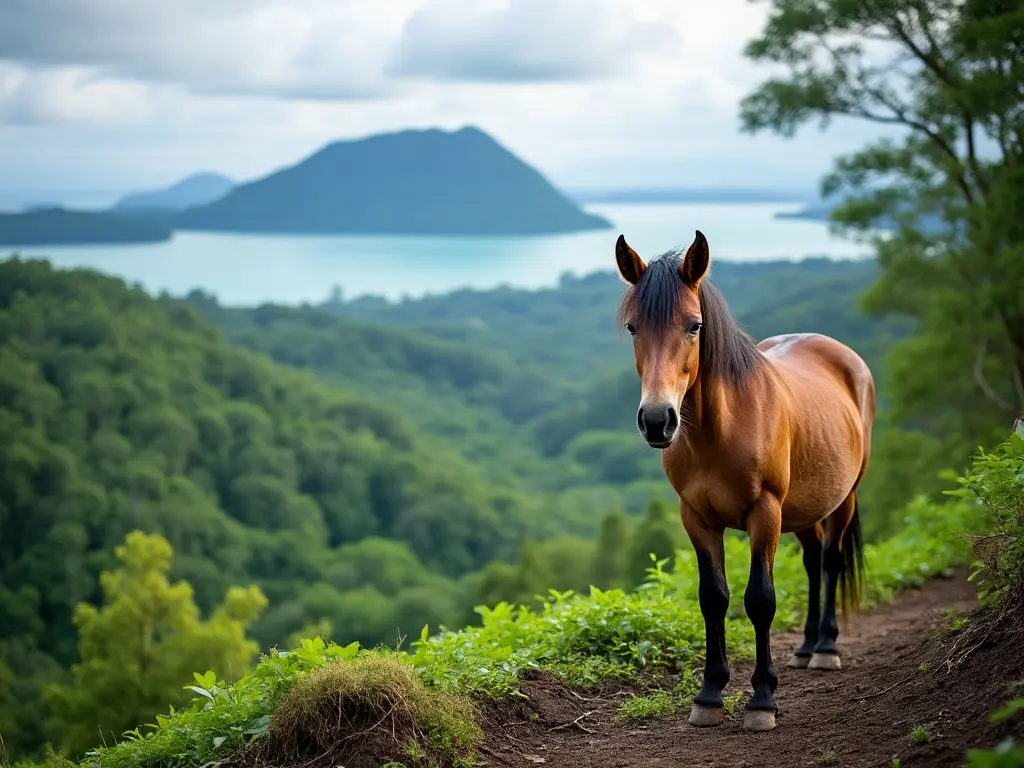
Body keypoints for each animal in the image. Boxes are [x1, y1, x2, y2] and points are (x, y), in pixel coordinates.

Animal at [610, 233, 876, 733]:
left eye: (694, 326)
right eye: (633, 328)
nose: (656, 420)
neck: (721, 430)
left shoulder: (764, 513)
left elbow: (760, 600)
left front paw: (762, 700)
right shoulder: (696, 518)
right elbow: (713, 598)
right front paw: (710, 695)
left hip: (842, 499)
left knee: (830, 561)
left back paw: (825, 647)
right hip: (801, 511)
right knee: (813, 560)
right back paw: (806, 646)